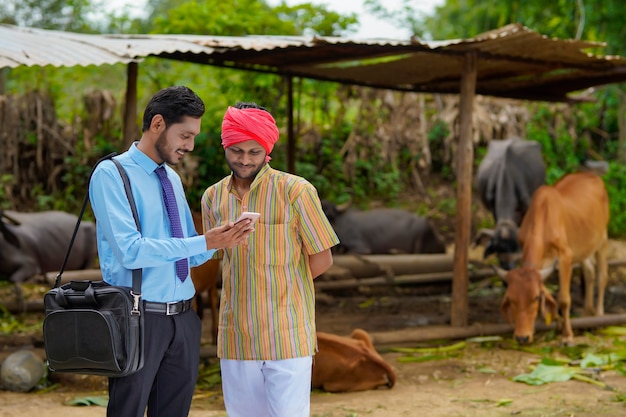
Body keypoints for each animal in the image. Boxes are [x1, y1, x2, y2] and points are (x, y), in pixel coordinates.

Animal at [492, 171, 604, 344]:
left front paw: (567, 335)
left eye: (535, 298)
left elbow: (563, 299)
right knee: (589, 272)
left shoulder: (566, 256)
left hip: (602, 239)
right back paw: (587, 315)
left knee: (602, 276)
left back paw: (599, 315)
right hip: (585, 247)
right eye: (510, 299)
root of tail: (592, 175)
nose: (522, 337)